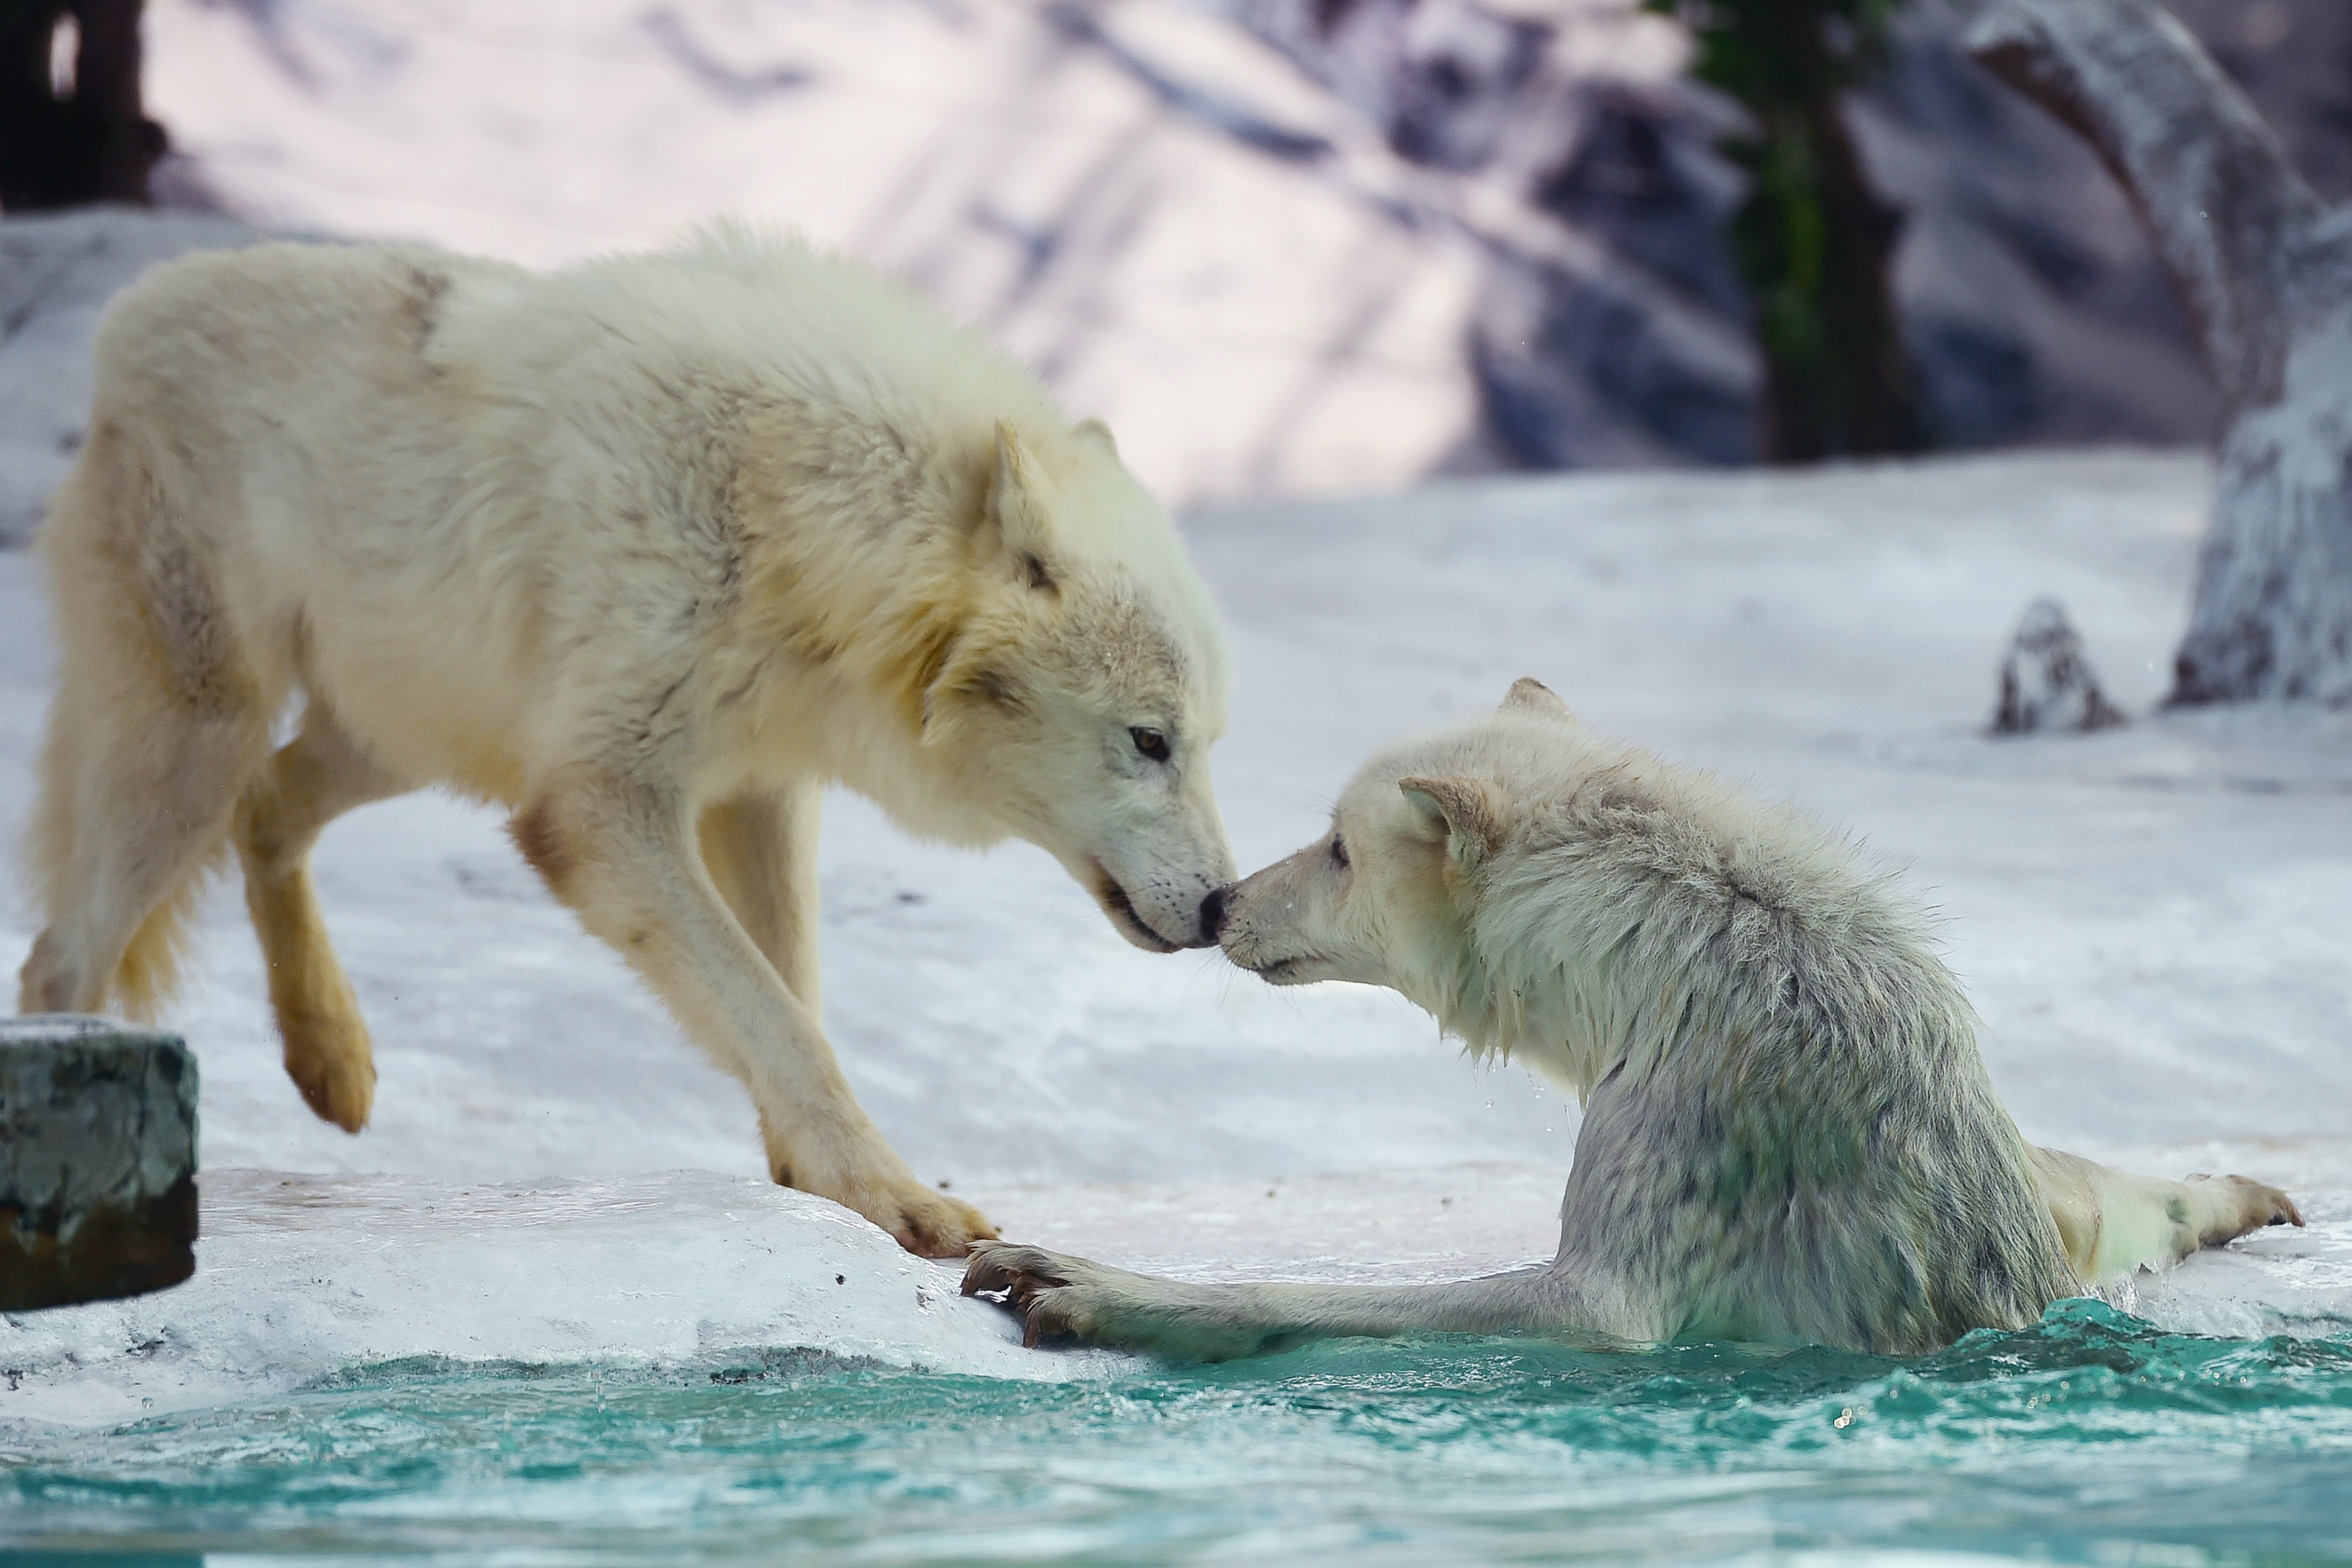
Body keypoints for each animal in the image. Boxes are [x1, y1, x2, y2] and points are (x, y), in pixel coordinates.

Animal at [22, 227, 1232, 1260]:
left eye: (1206, 742)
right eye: (1148, 741)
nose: (1225, 906)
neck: (790, 518)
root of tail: (131, 311)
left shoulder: (762, 789)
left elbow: (793, 993)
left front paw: (809, 1178)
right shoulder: (602, 804)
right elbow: (775, 1014)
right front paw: (888, 1196)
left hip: (411, 741)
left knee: (266, 809)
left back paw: (332, 1059)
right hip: (199, 744)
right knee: (63, 955)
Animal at [964, 681, 2305, 1354]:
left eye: (1337, 848)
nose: (1221, 904)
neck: (1668, 951)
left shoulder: (1675, 1132)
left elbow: (1524, 1309)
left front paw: (1100, 1284)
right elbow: (2102, 1199)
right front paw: (2235, 1190)